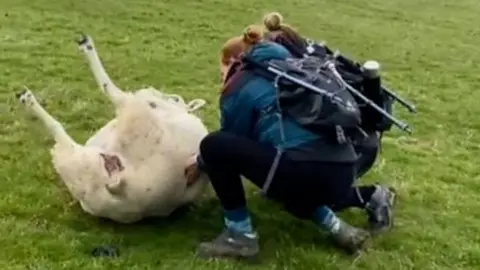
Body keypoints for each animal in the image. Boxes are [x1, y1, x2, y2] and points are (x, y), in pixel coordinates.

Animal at [16, 34, 210, 224]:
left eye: (176, 99)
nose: (153, 91)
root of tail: (121, 185)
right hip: (82, 170)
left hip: (135, 118)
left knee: (109, 92)